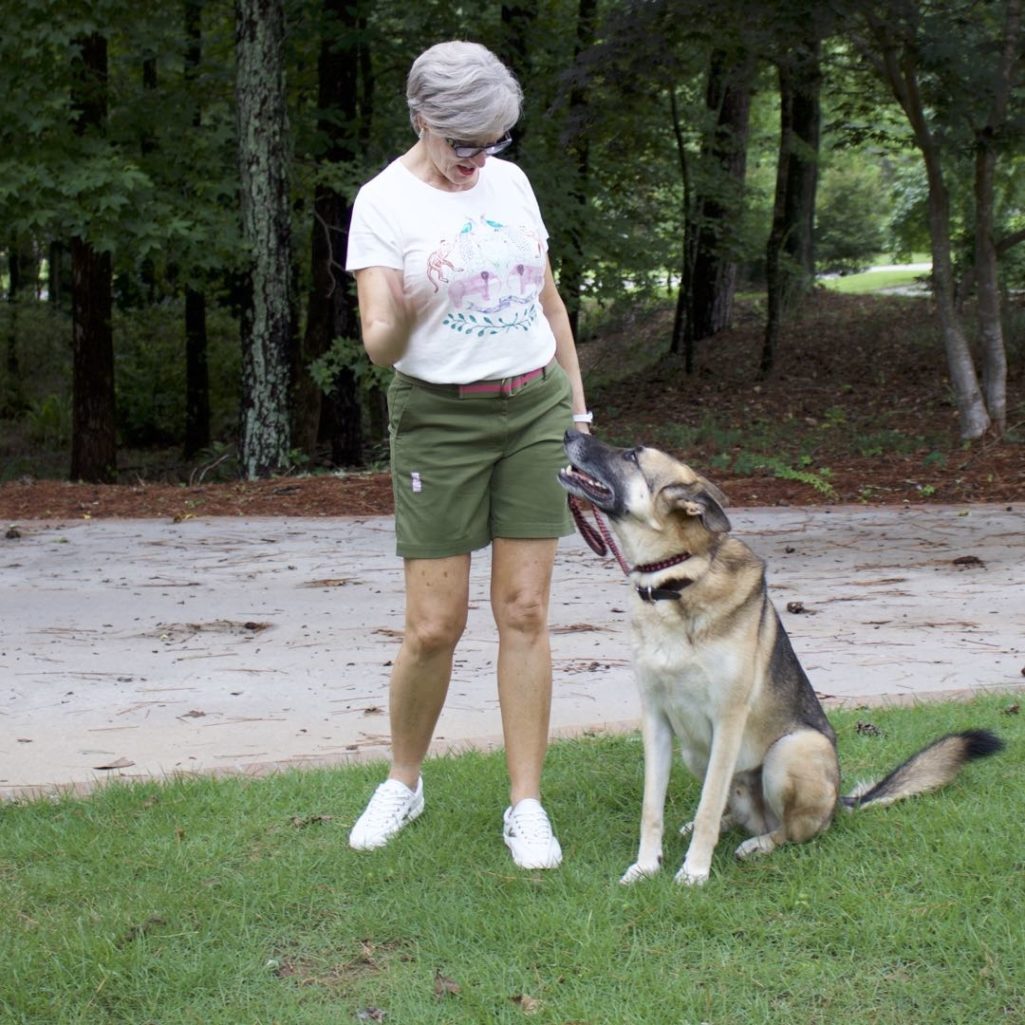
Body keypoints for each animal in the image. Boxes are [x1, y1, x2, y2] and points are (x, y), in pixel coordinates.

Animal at [557, 428, 1004, 885]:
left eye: (632, 455)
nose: (570, 432)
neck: (675, 581)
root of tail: (840, 803)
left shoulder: (727, 720)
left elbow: (708, 805)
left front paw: (694, 872)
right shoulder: (657, 721)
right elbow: (654, 809)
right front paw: (646, 867)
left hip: (792, 749)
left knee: (791, 830)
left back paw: (758, 844)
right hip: (694, 752)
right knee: (732, 812)